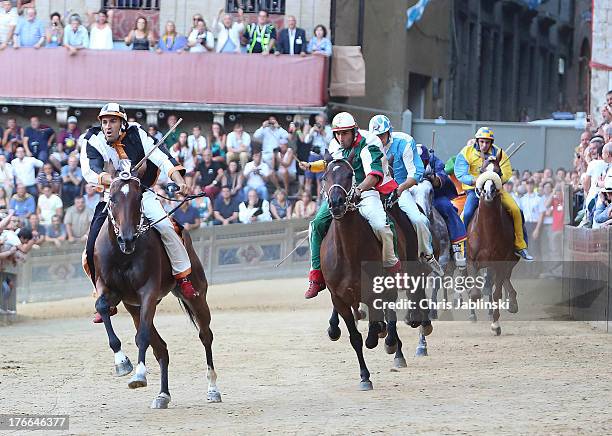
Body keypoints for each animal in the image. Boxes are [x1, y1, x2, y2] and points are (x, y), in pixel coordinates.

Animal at [94, 171, 221, 408]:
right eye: (112, 199)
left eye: (138, 199)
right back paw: (163, 395)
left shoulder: (149, 293)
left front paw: (138, 375)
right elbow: (103, 308)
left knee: (205, 336)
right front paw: (122, 362)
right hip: (134, 309)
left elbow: (142, 337)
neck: (123, 255)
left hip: (197, 297)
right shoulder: (108, 289)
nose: (127, 239)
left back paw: (213, 389)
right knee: (161, 348)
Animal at [320, 158, 430, 390]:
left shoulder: (377, 290)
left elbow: (376, 327)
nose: (336, 203)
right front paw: (364, 377)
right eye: (325, 177)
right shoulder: (339, 298)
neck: (349, 253)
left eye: (349, 175)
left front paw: (383, 337)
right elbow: (355, 338)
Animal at [468, 152, 516, 336]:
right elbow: (475, 292)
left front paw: (495, 324)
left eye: (499, 172)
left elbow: (496, 293)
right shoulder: (471, 260)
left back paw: (512, 302)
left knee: (504, 279)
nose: (488, 192)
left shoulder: (500, 262)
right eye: (481, 170)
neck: (488, 231)